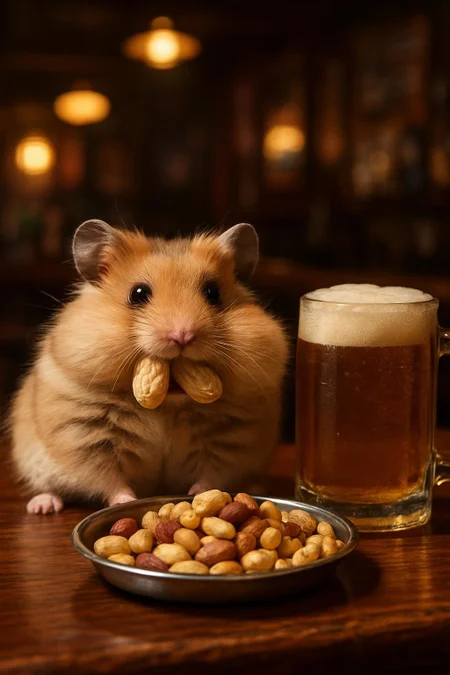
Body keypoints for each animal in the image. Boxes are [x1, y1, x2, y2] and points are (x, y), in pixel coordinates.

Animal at [10, 220, 289, 513]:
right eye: (138, 294)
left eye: (213, 293)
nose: (182, 336)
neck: (167, 405)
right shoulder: (88, 437)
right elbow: (108, 479)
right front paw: (128, 502)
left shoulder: (231, 441)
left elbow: (212, 474)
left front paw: (199, 494)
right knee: (49, 488)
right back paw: (42, 506)